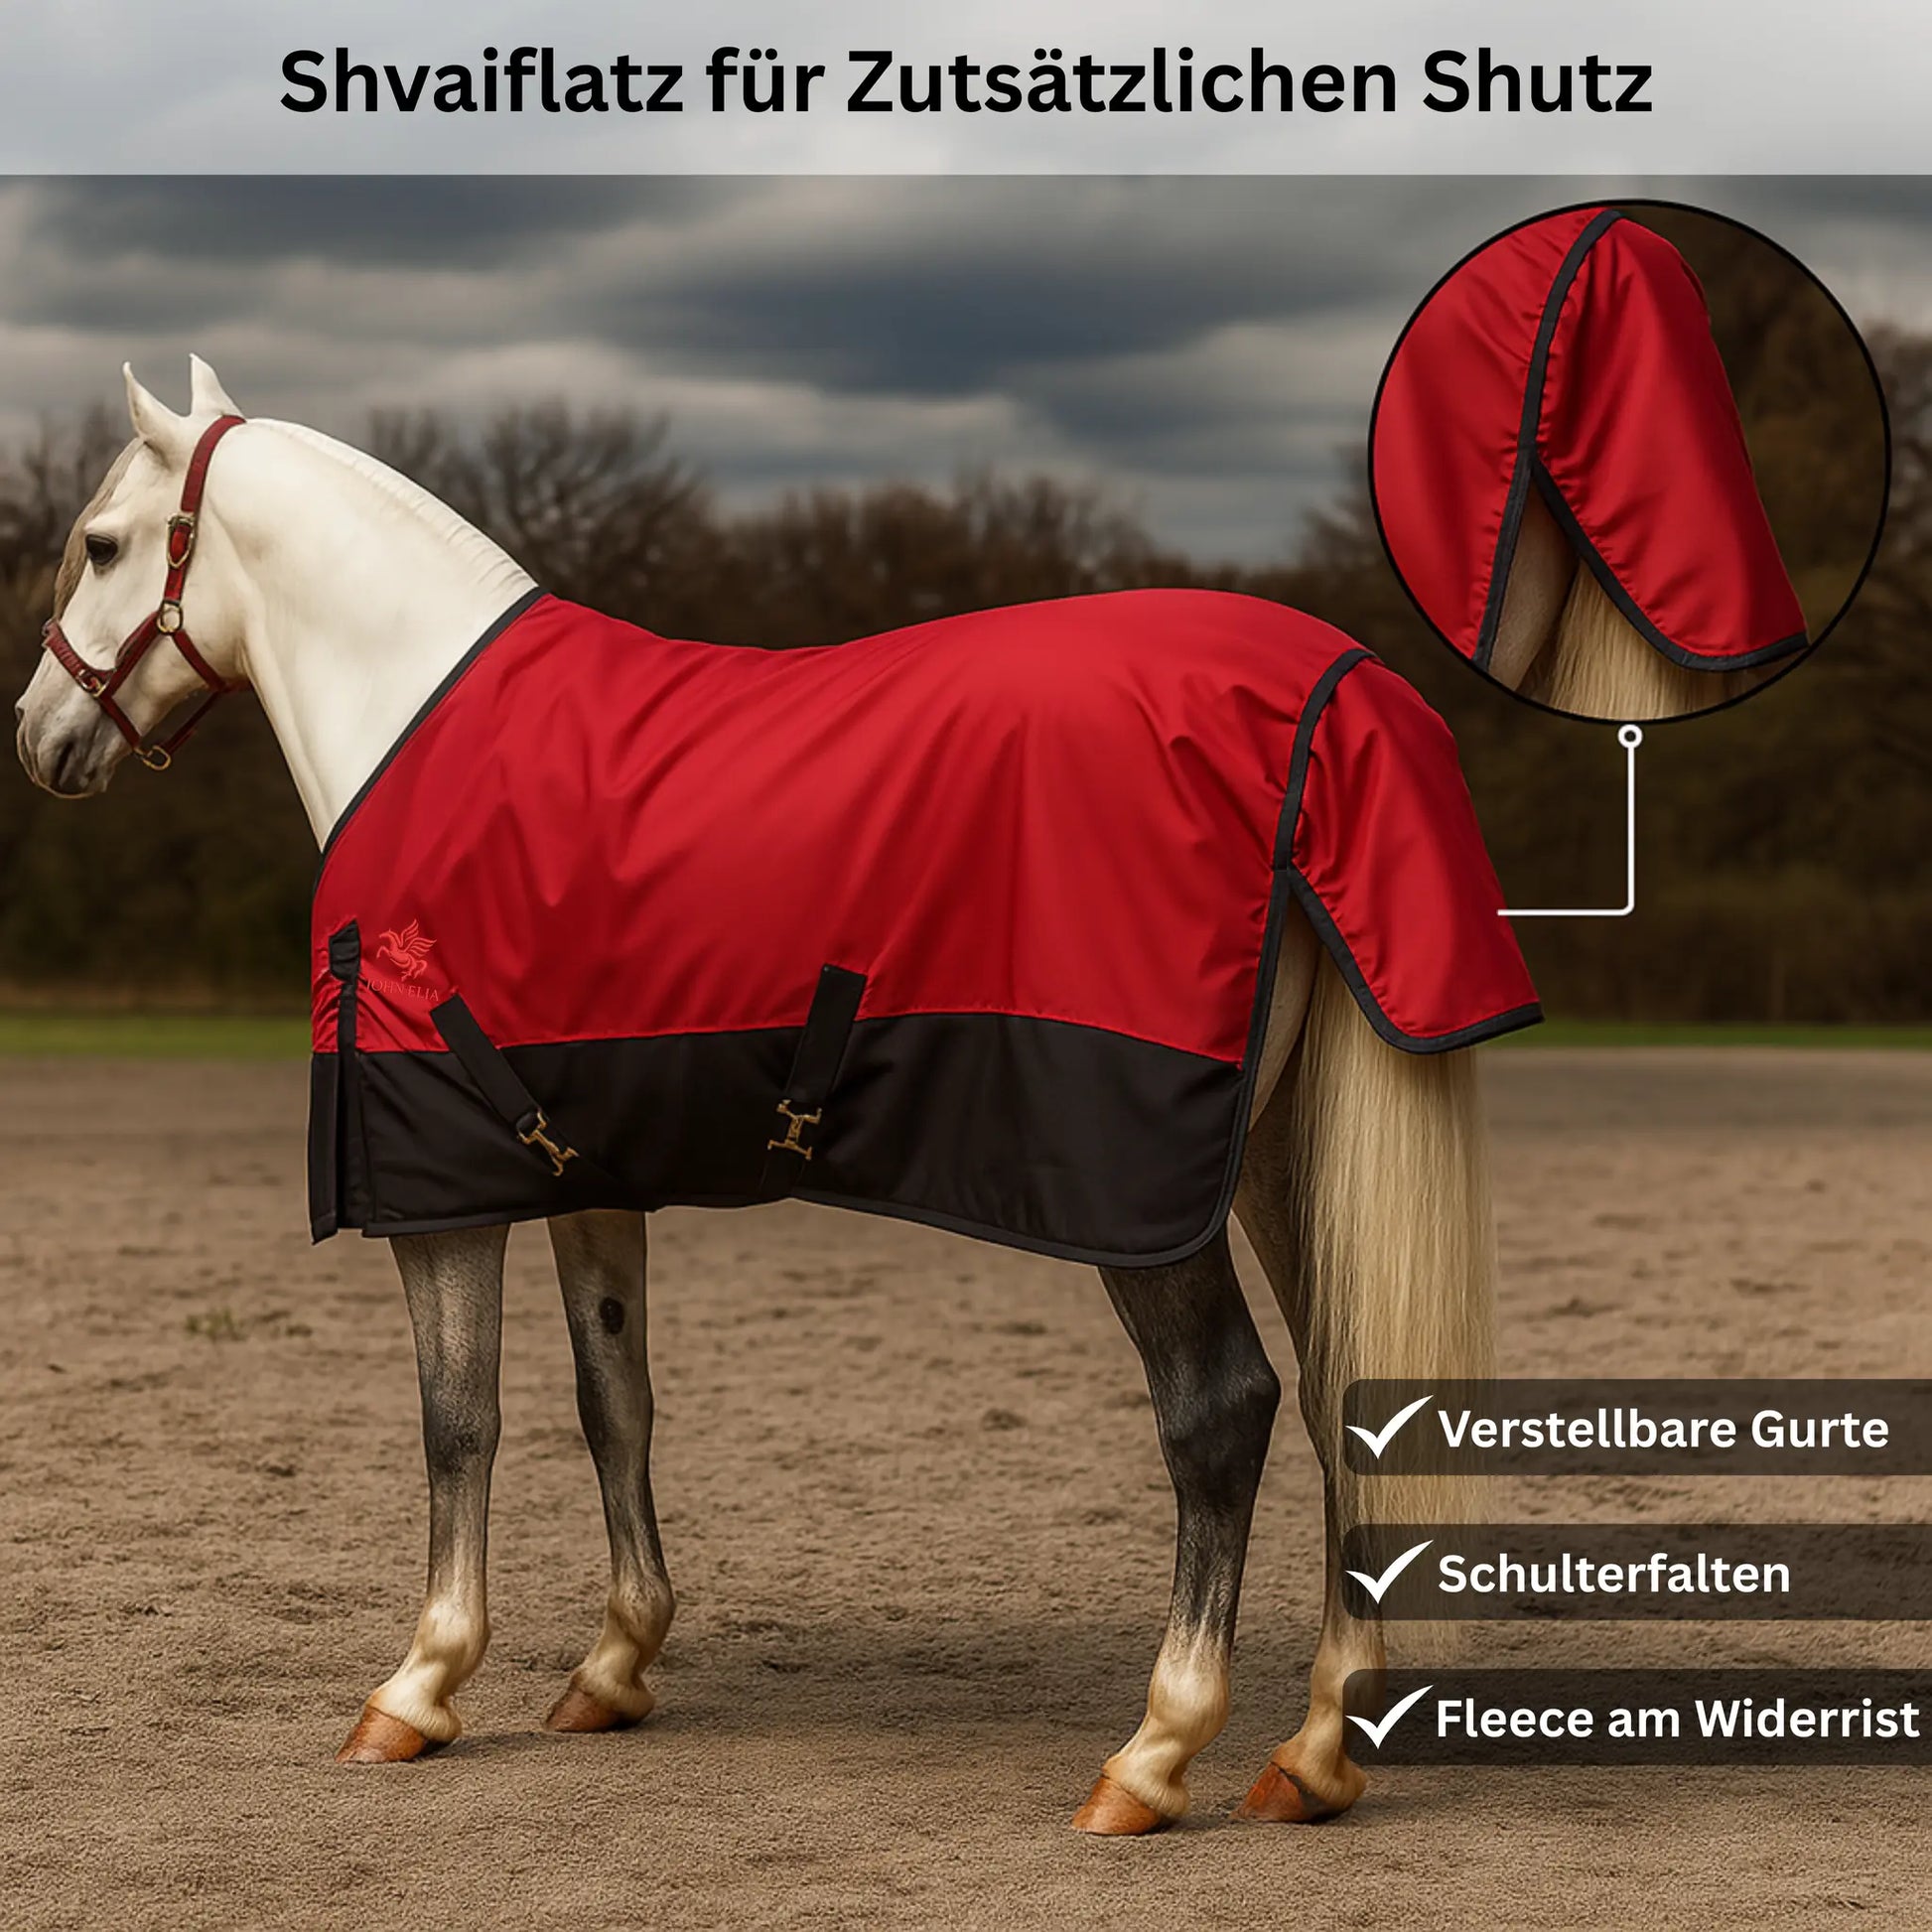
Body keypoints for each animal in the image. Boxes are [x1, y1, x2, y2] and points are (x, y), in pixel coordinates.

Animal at [14, 359, 1503, 1835]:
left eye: (106, 544)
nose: (37, 733)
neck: (418, 719)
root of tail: (1330, 691)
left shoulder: (440, 1181)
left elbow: (459, 1419)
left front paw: (419, 1685)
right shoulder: (582, 1166)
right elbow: (613, 1398)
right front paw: (613, 1663)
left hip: (1140, 1188)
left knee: (1219, 1409)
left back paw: (1151, 1751)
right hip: (1273, 1156)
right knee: (1341, 1390)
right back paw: (1313, 1748)